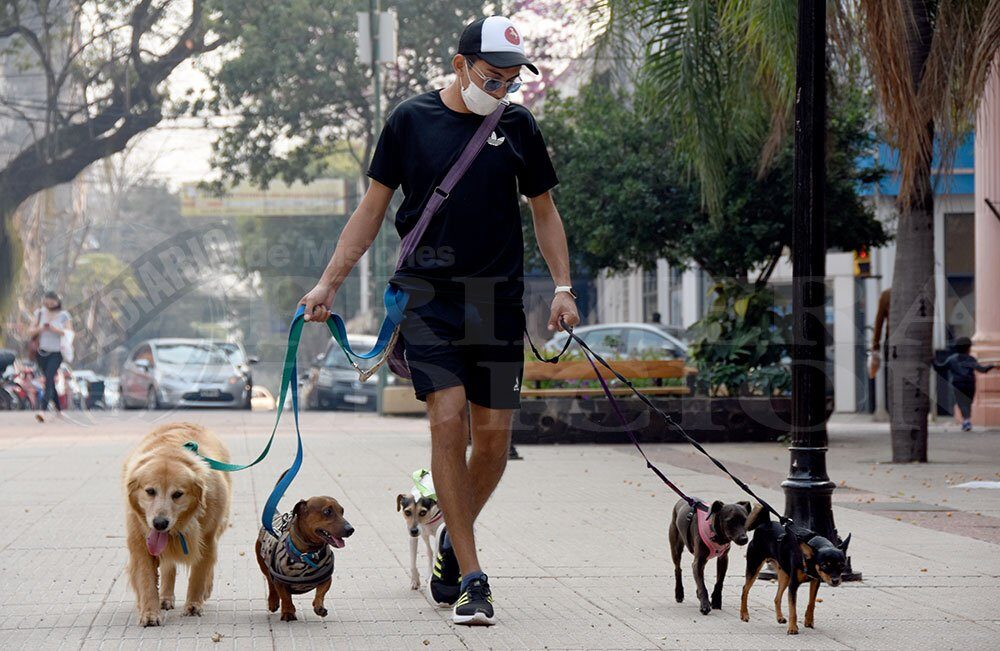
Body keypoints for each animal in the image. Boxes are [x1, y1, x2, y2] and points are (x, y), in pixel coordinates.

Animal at [740, 504, 848, 636]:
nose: (835, 581)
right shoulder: (793, 585)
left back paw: (780, 617)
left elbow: (811, 602)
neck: (808, 559)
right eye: (824, 565)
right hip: (754, 567)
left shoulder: (815, 581)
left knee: (777, 598)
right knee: (745, 589)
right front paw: (792, 628)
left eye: (842, 565)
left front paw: (809, 621)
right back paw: (744, 614)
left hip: (784, 576)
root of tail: (766, 523)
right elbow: (793, 609)